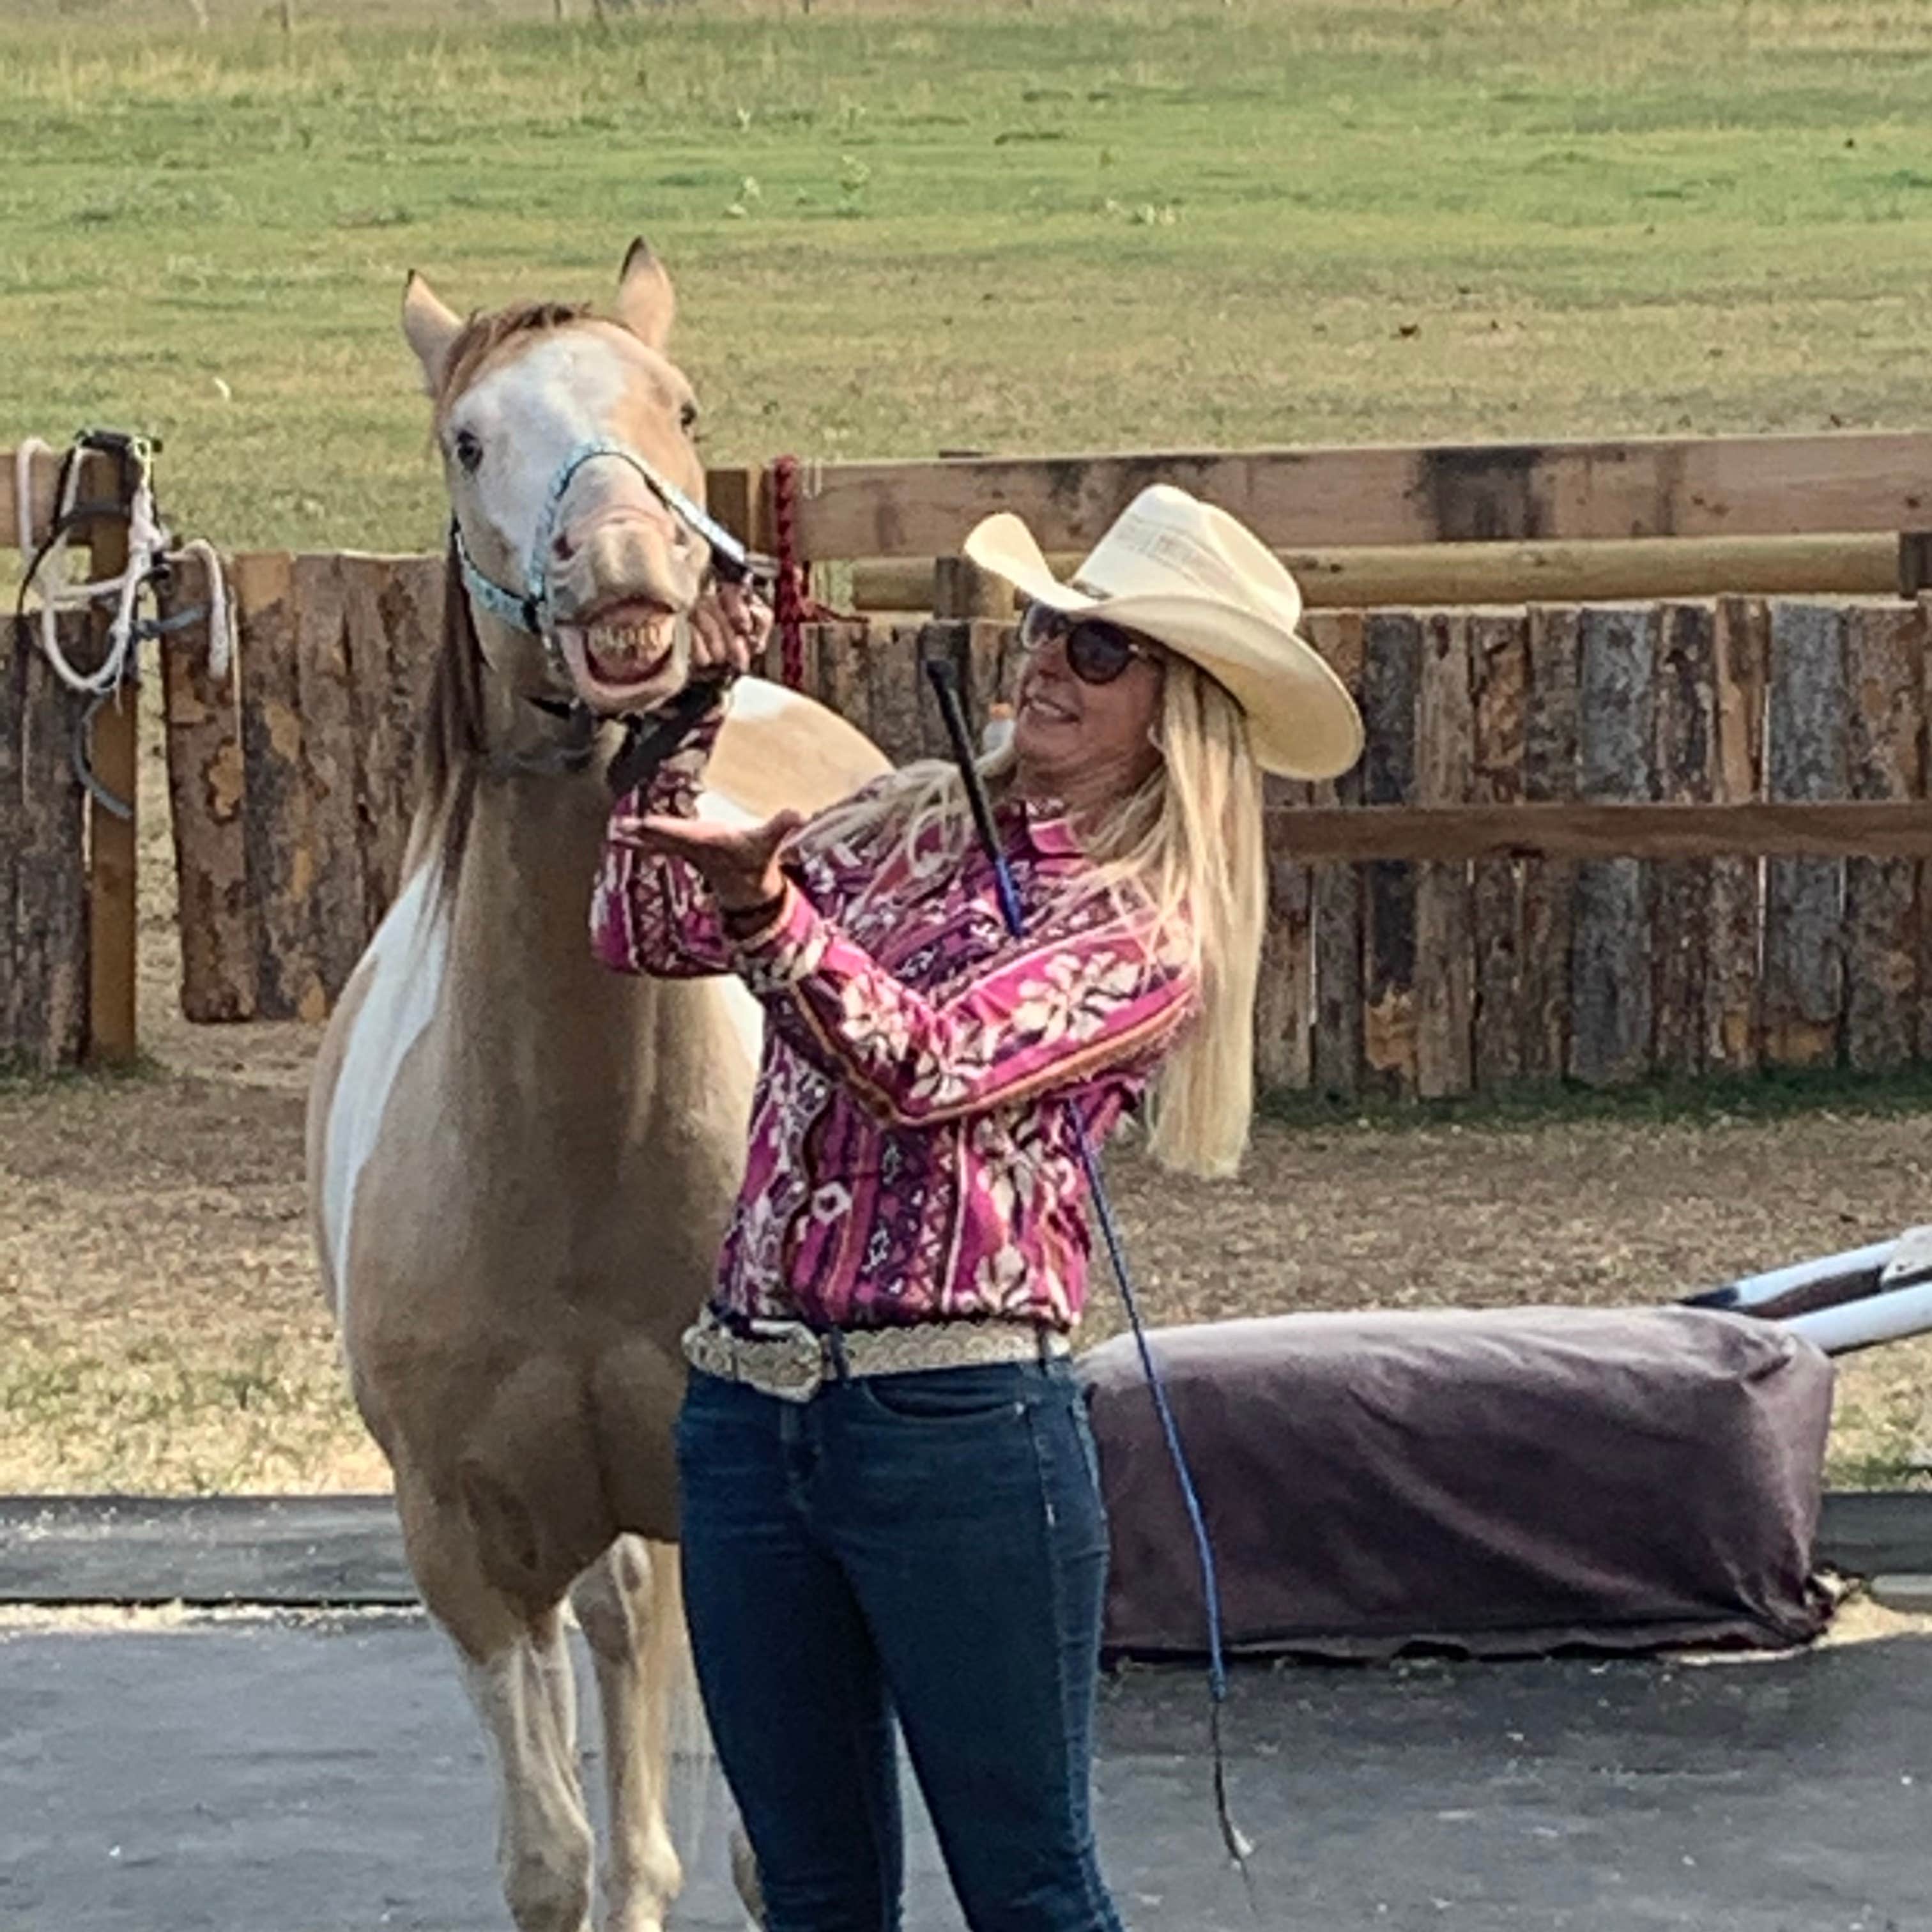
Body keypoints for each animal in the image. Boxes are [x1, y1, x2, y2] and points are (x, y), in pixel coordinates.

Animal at [305, 245, 884, 1932]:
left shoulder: (758, 1523)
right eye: (467, 439)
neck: (571, 1157)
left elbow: (783, 1847)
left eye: (677, 407)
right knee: (621, 1651)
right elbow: (552, 1862)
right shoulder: (462, 1548)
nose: (630, 576)